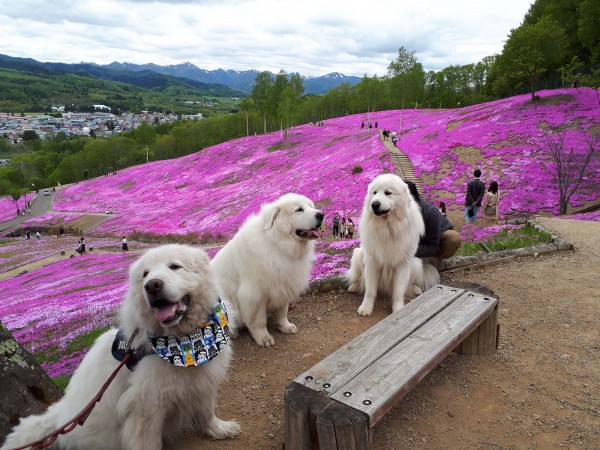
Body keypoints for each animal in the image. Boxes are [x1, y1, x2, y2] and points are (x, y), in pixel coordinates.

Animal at [3, 244, 241, 450]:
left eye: (175, 266)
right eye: (145, 274)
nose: (152, 285)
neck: (183, 340)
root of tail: (60, 419)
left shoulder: (203, 382)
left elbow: (206, 413)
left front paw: (219, 430)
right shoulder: (145, 407)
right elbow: (148, 443)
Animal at [211, 193, 324, 348]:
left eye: (311, 206)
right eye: (299, 210)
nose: (321, 215)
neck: (277, 243)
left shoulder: (283, 285)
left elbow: (282, 312)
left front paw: (285, 326)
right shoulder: (255, 294)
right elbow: (259, 321)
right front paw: (264, 338)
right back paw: (232, 332)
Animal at [344, 173, 438, 316]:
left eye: (388, 193)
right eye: (374, 192)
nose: (374, 204)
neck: (388, 227)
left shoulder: (402, 263)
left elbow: (398, 291)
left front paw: (398, 309)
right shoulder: (372, 261)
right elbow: (370, 290)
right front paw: (366, 308)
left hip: (416, 263)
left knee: (410, 283)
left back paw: (415, 289)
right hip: (358, 254)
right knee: (360, 278)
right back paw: (355, 286)